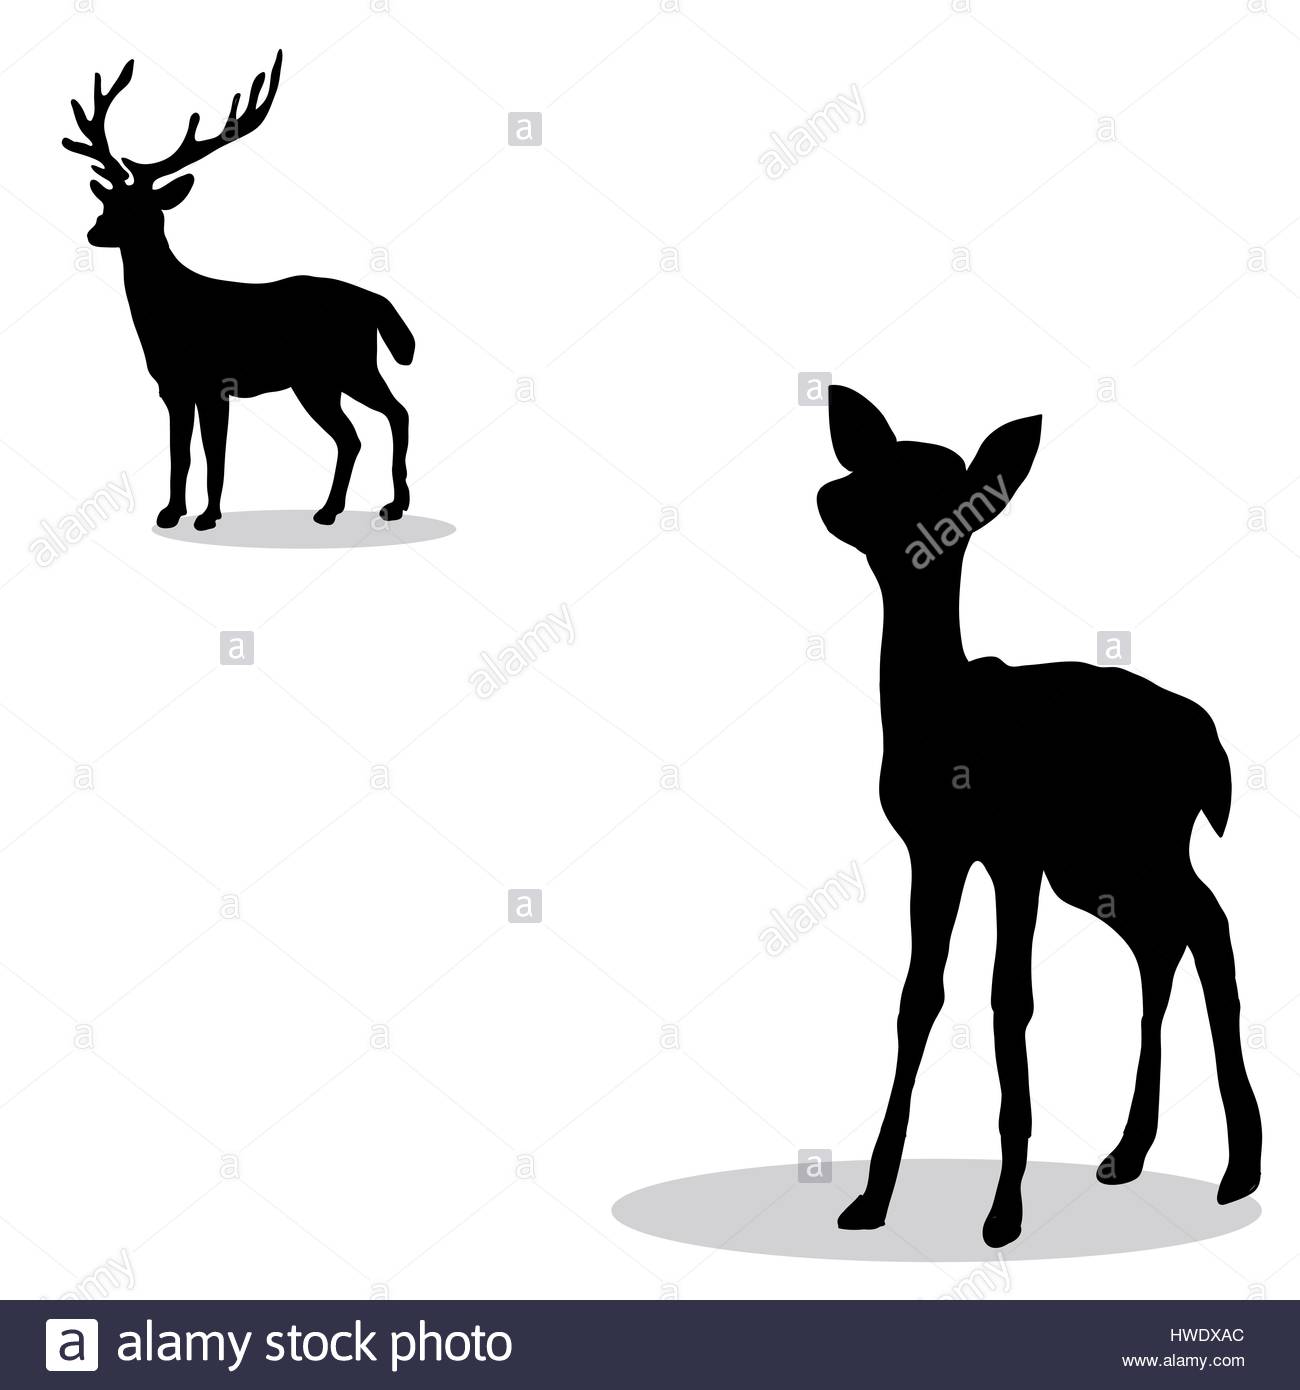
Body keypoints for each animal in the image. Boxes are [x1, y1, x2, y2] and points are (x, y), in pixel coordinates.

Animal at [63, 53, 413, 532]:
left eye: (141, 208)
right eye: (106, 202)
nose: (94, 232)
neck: (168, 314)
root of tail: (377, 303)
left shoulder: (215, 384)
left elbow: (216, 454)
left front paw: (208, 516)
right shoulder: (172, 388)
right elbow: (180, 453)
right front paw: (170, 512)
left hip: (351, 366)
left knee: (396, 413)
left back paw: (395, 504)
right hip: (318, 382)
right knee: (352, 437)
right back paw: (329, 510)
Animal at [817, 386, 1262, 1248]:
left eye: (941, 489)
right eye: (873, 462)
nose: (829, 495)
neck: (937, 718)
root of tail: (1212, 745)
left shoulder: (1012, 852)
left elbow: (1008, 1000)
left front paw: (1003, 1212)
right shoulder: (934, 851)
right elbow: (919, 998)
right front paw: (870, 1199)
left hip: (1143, 843)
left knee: (1208, 921)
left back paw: (1241, 1169)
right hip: (1096, 868)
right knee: (1162, 941)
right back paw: (1127, 1154)